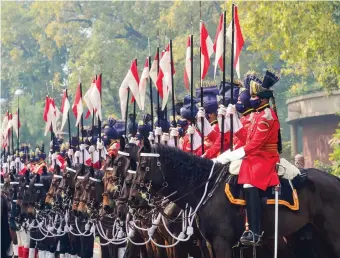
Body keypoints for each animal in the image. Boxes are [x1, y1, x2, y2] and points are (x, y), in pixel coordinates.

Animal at [130, 141, 340, 258]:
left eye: (143, 165)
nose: (132, 199)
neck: (207, 188)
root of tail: (334, 178)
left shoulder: (221, 242)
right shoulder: (209, 243)